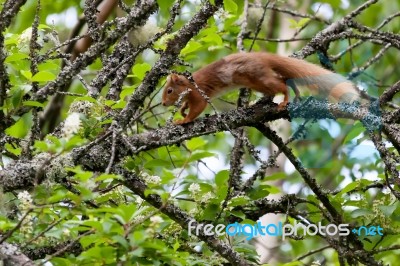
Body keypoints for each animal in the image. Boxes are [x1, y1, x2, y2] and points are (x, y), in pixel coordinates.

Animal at [161, 53, 358, 125]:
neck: (189, 85)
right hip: (257, 83)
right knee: (284, 79)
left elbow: (197, 108)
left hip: (261, 78)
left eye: (169, 90)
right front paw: (182, 109)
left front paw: (183, 120)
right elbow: (188, 105)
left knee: (281, 85)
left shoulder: (199, 93)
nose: (163, 103)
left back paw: (285, 100)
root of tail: (262, 56)